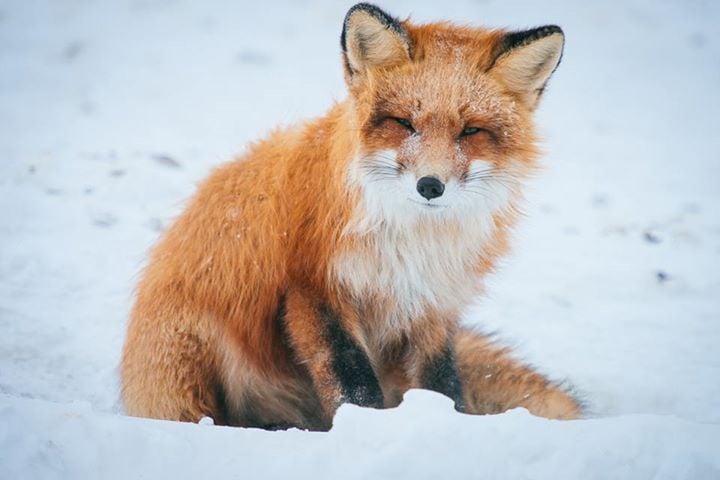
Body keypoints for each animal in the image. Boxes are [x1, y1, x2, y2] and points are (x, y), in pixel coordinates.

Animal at [121, 3, 582, 430]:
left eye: (470, 131)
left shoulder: (432, 305)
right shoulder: (315, 288)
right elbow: (352, 381)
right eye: (404, 123)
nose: (430, 186)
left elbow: (442, 384)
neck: (410, 241)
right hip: (193, 352)